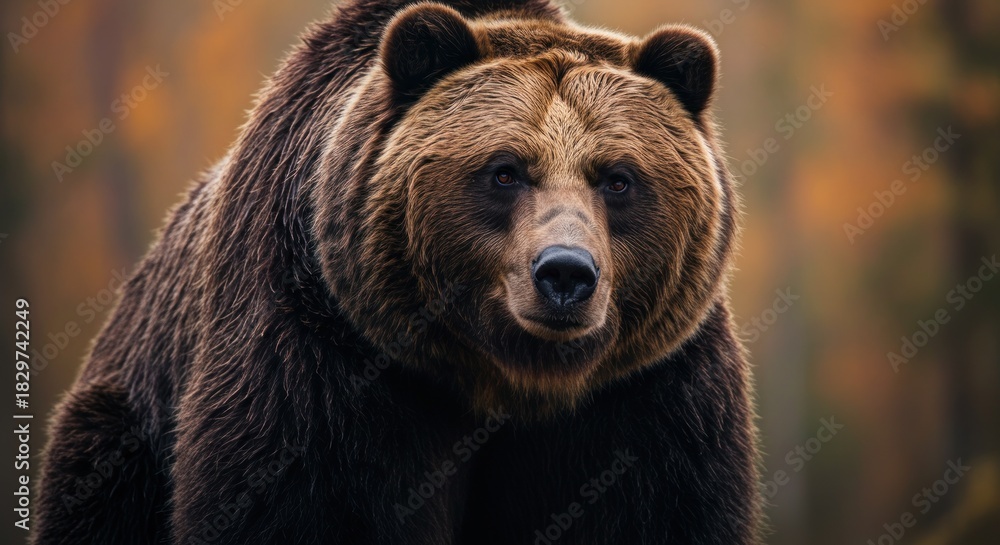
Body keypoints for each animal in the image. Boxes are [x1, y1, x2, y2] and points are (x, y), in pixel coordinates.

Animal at [34, 1, 760, 544]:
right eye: (504, 171)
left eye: (617, 178)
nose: (565, 274)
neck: (504, 378)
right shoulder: (319, 355)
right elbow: (297, 500)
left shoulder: (646, 390)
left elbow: (651, 506)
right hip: (120, 437)